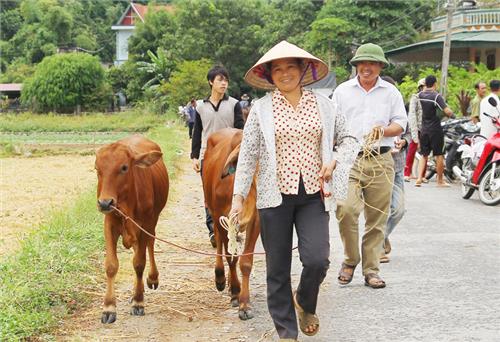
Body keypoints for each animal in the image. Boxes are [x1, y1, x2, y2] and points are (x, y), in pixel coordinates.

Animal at [94, 134, 169, 324]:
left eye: (124, 167)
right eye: (97, 168)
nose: (105, 203)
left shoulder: (145, 225)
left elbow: (139, 263)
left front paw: (138, 301)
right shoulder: (109, 224)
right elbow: (111, 265)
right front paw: (109, 307)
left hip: (153, 222)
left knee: (149, 245)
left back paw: (151, 278)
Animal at [201, 127, 260, 320]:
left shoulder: (256, 220)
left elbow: (245, 262)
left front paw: (244, 304)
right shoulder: (221, 216)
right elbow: (231, 257)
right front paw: (235, 292)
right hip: (212, 209)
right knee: (219, 240)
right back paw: (220, 278)